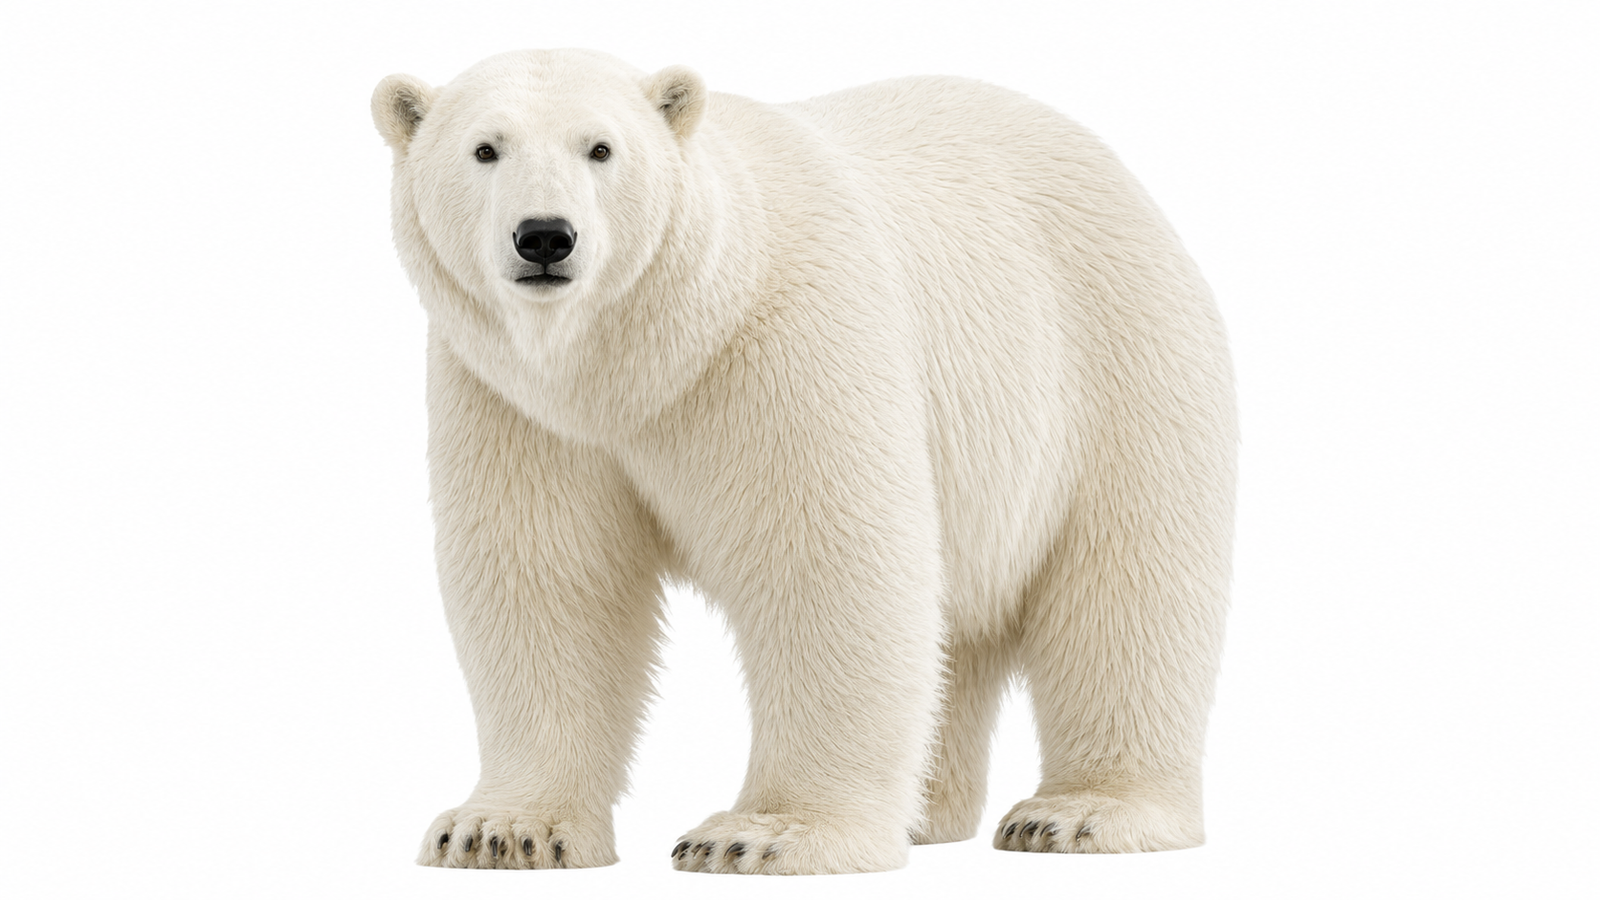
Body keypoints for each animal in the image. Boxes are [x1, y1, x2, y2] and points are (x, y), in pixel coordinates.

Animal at [371, 48, 1237, 875]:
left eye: (601, 148)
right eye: (485, 148)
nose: (545, 236)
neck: (644, 356)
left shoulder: (786, 339)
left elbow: (824, 561)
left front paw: (762, 836)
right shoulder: (517, 404)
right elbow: (548, 580)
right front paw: (500, 829)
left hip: (1109, 358)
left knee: (1124, 590)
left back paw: (1079, 813)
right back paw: (923, 808)